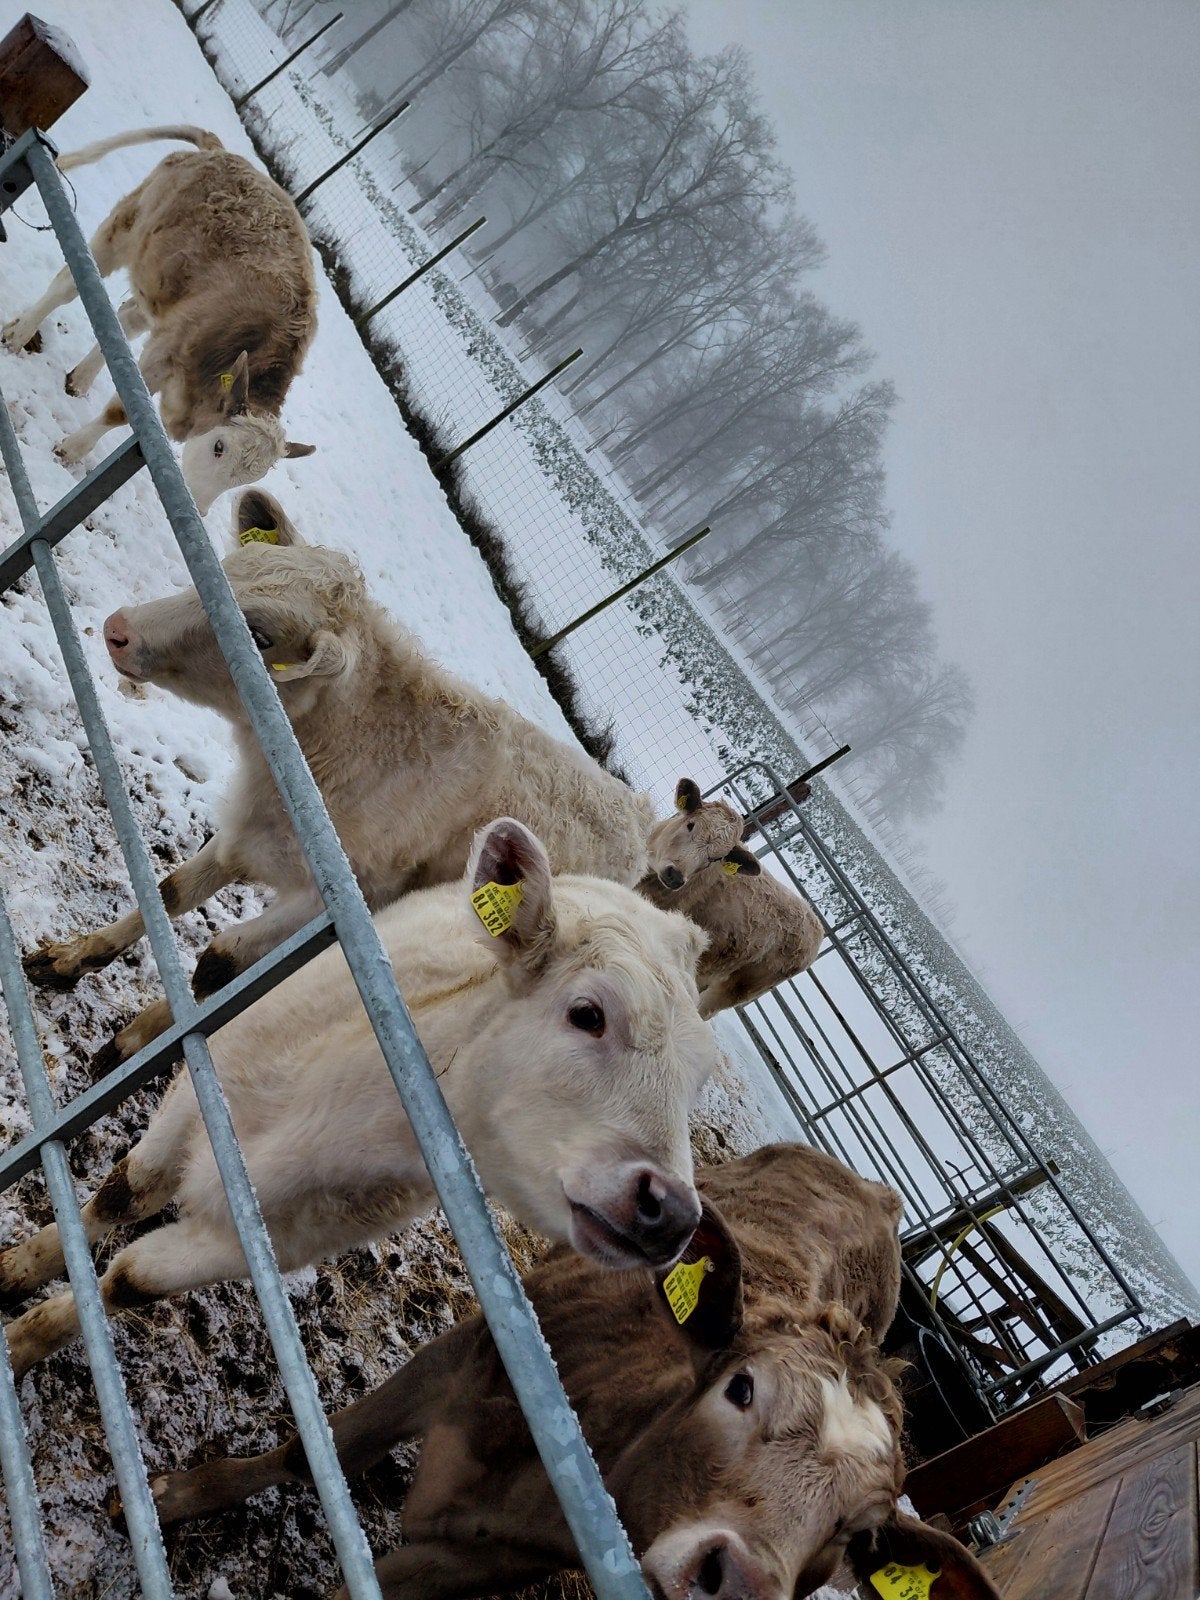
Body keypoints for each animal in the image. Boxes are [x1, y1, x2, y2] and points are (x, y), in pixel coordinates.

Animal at [0, 817, 718, 1382]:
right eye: (587, 1014)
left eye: (697, 1082)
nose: (672, 1213)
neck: (324, 1114)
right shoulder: (198, 1094)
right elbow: (124, 1194)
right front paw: (22, 1268)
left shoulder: (263, 1239)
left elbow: (132, 1282)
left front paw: (23, 1340)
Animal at [2, 126, 317, 512]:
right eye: (219, 447)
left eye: (250, 479)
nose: (198, 509)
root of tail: (222, 152)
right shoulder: (166, 351)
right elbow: (120, 412)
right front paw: (72, 449)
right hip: (125, 228)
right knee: (66, 285)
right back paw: (19, 334)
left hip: (158, 289)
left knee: (125, 319)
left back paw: (80, 378)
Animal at [142, 1144, 999, 1600]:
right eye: (742, 1387)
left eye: (859, 1535)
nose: (741, 1581)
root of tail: (877, 1194)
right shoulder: (453, 1359)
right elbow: (311, 1451)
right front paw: (174, 1497)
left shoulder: (482, 1559)